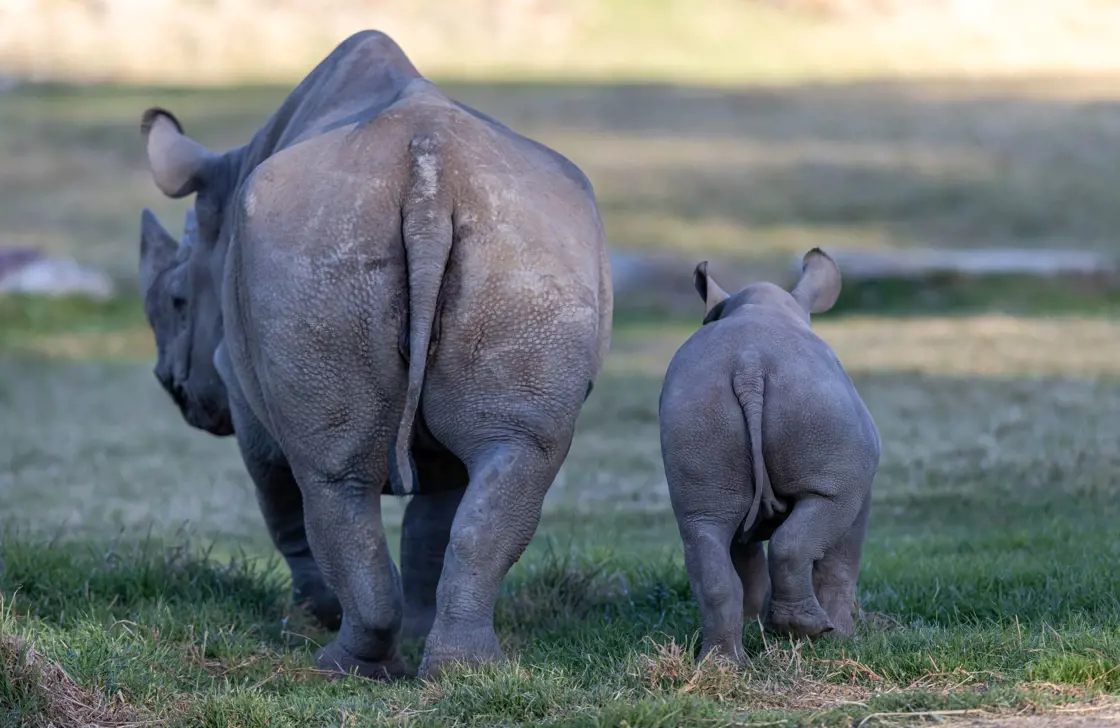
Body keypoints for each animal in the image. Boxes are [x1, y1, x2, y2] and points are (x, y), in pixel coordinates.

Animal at [137, 30, 612, 680]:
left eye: (177, 300)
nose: (172, 387)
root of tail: (430, 177)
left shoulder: (239, 387)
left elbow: (280, 502)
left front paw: (316, 613)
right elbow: (432, 523)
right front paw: (416, 629)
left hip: (317, 250)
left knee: (331, 481)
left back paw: (339, 662)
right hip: (524, 249)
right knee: (514, 458)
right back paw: (462, 670)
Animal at [657, 249, 879, 662]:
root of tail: (750, 364)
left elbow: (745, 560)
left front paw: (754, 625)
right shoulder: (856, 488)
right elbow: (842, 563)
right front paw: (844, 636)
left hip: (699, 411)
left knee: (703, 527)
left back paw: (722, 665)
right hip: (815, 407)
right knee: (820, 512)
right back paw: (808, 629)